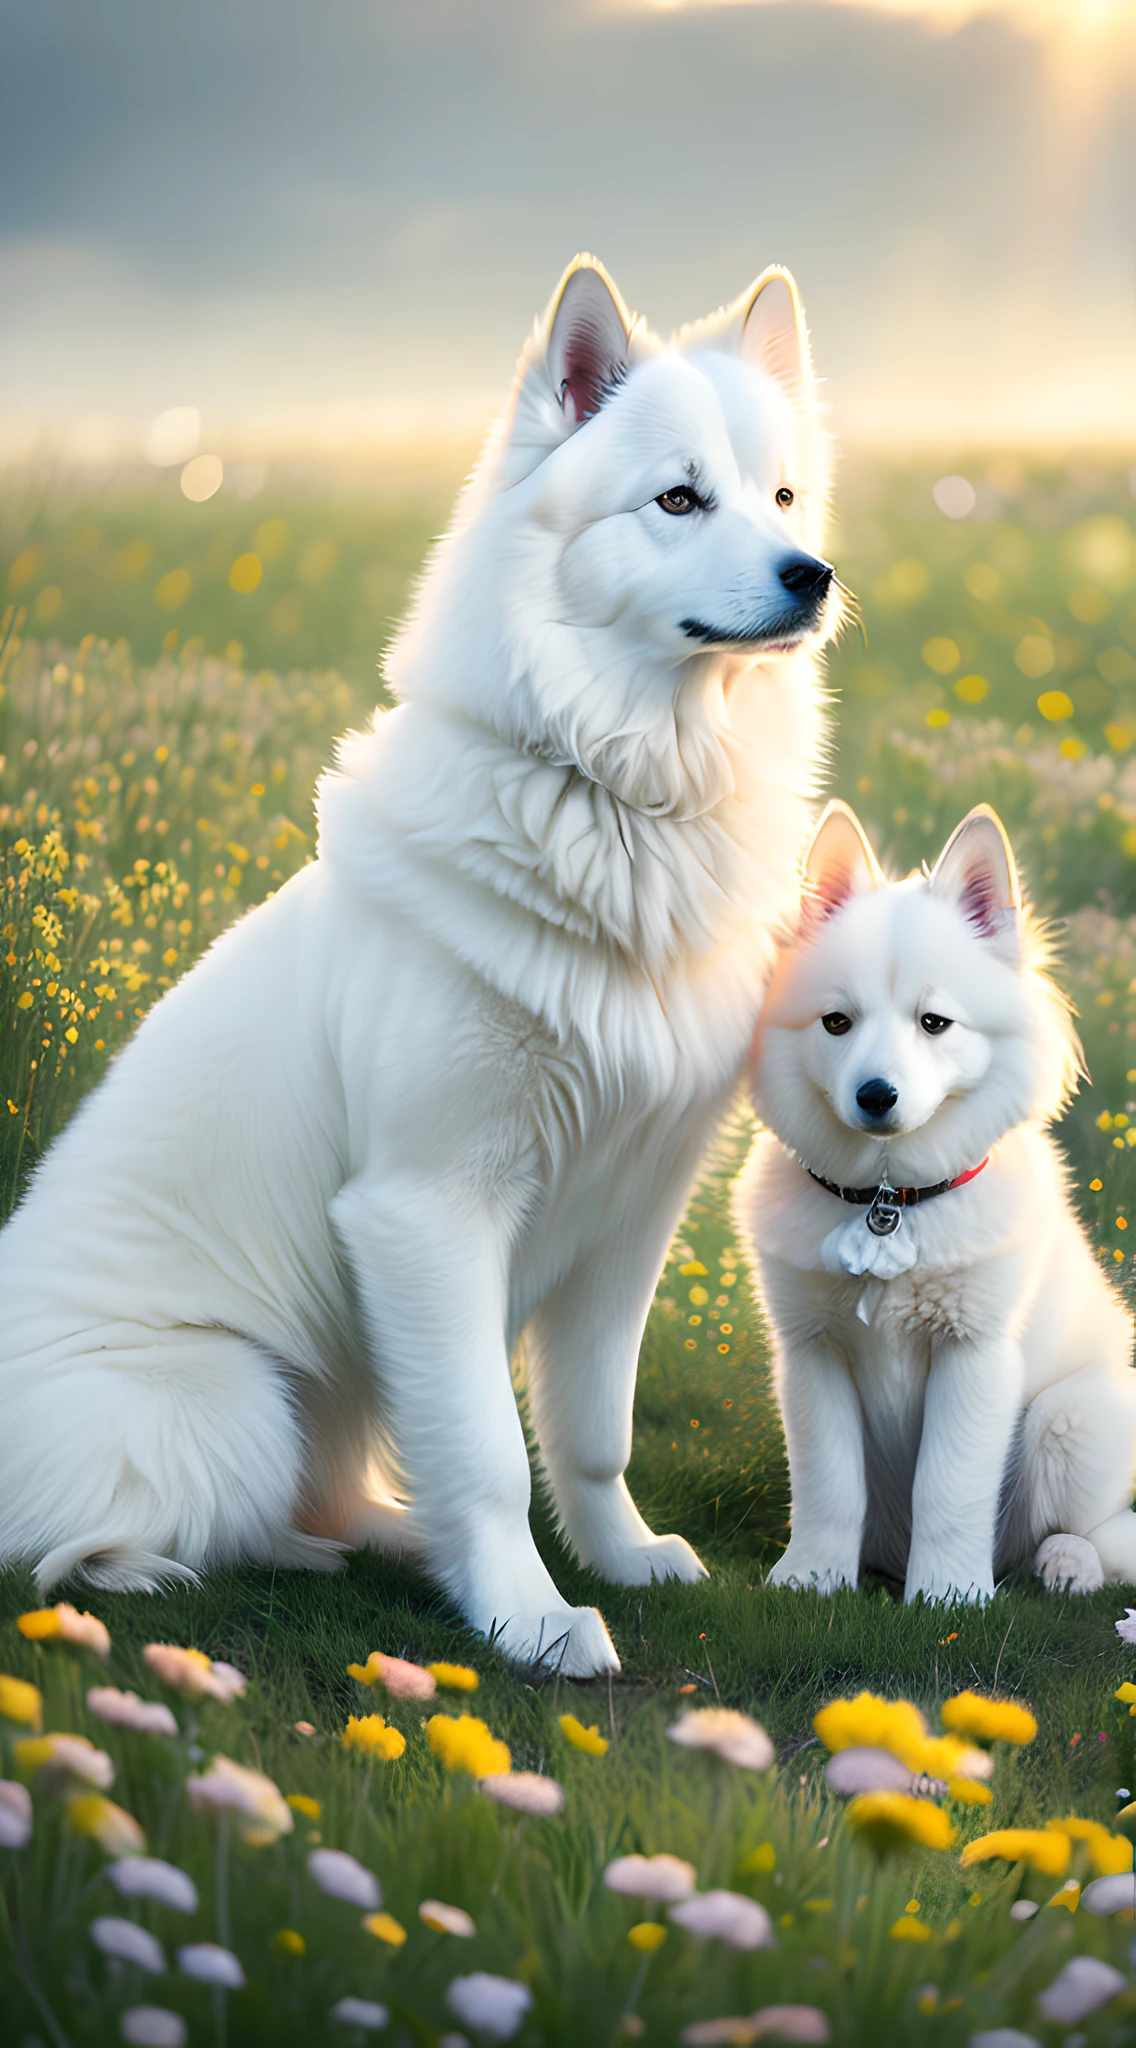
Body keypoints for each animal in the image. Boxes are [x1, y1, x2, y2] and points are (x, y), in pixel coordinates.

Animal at [0, 251, 835, 1679]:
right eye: (676, 497)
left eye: (778, 494)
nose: (812, 573)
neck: (618, 795)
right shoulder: (427, 1208)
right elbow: (491, 1453)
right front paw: (531, 1619)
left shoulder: (631, 1213)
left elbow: (588, 1429)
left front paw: (618, 1559)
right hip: (238, 1397)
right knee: (125, 1540)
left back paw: (387, 1531)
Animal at [736, 790, 1136, 1605]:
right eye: (836, 1022)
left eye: (935, 1023)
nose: (875, 1095)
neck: (890, 1201)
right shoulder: (812, 1354)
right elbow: (828, 1485)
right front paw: (812, 1579)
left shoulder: (973, 1354)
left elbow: (947, 1487)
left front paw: (946, 1596)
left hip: (1070, 1418)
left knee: (1108, 1537)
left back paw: (1067, 1564)